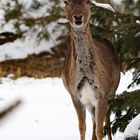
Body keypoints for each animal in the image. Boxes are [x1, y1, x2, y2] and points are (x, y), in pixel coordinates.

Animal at [62, 0, 120, 140]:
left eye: (87, 1)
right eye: (66, 2)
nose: (78, 17)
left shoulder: (102, 93)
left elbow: (100, 130)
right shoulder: (75, 95)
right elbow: (82, 127)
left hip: (113, 90)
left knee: (107, 120)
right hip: (89, 102)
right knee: (94, 121)